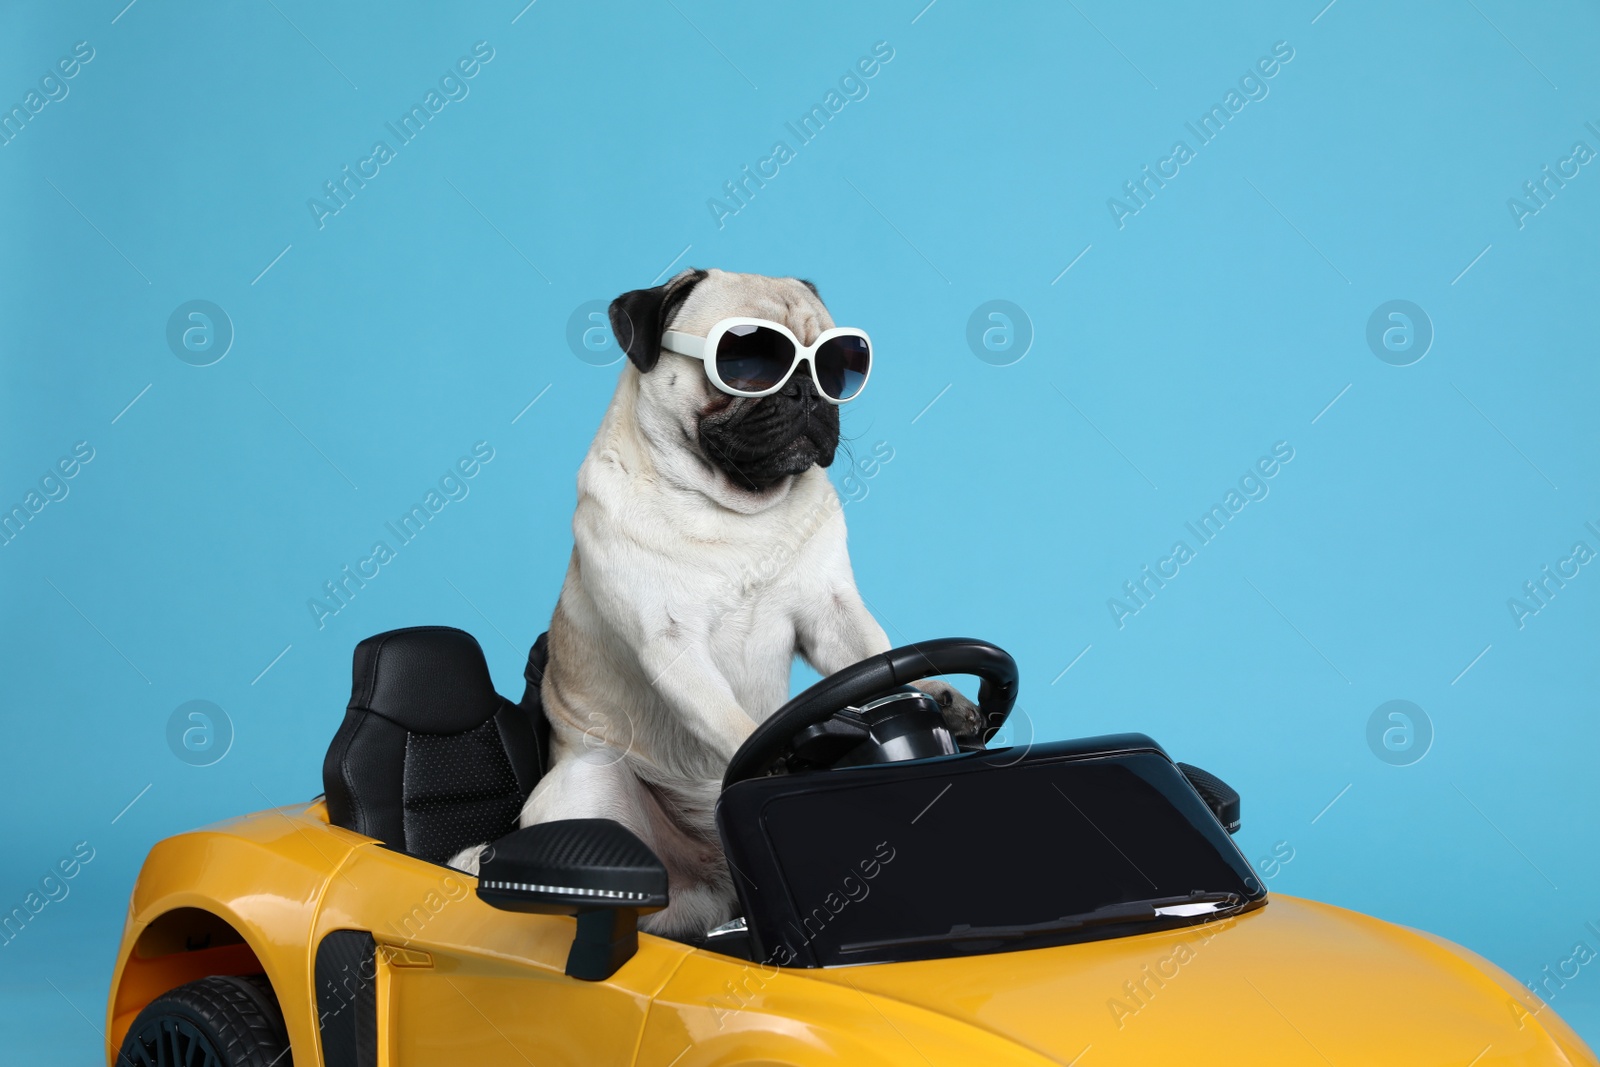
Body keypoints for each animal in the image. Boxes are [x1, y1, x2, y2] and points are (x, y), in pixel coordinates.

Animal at [448, 271, 972, 940]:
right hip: (593, 784)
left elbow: (875, 660)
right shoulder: (672, 646)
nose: (807, 389)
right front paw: (783, 759)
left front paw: (935, 693)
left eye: (836, 368)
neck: (738, 511)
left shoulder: (832, 615)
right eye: (747, 365)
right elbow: (728, 719)